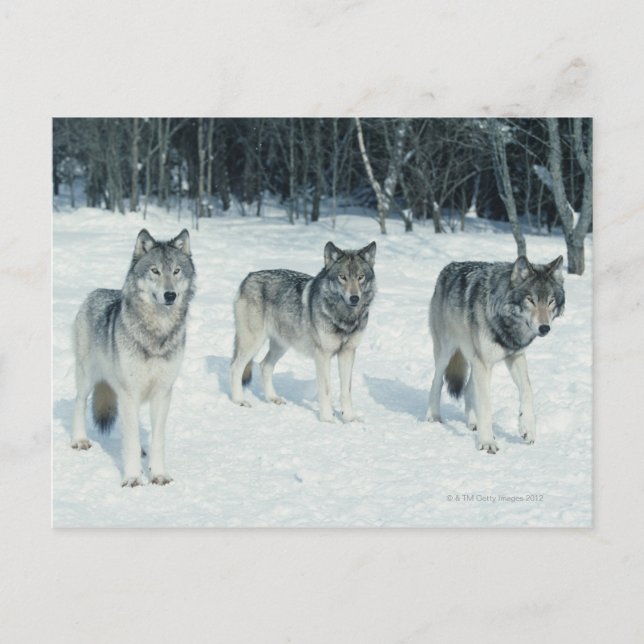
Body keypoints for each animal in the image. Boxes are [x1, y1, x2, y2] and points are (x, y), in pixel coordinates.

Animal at [70, 229, 196, 486]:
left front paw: (158, 474)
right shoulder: (130, 392)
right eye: (155, 271)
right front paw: (132, 478)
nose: (170, 295)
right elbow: (130, 440)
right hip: (88, 378)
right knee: (79, 403)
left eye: (176, 271)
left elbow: (157, 439)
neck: (156, 333)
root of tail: (95, 292)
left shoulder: (162, 392)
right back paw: (79, 440)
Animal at [230, 241, 377, 422]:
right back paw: (239, 400)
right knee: (235, 368)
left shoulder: (348, 353)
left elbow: (346, 391)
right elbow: (326, 390)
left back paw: (273, 398)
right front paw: (327, 419)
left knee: (264, 366)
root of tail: (248, 277)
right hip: (254, 343)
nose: (354, 298)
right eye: (342, 277)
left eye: (360, 277)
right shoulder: (323, 355)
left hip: (281, 345)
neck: (345, 318)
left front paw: (349, 418)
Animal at [426, 255, 565, 453]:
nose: (544, 328)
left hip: (474, 360)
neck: (507, 324)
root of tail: (449, 266)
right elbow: (485, 405)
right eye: (530, 300)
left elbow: (528, 390)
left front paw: (527, 429)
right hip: (447, 351)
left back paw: (473, 422)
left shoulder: (515, 357)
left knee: (468, 388)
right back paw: (433, 416)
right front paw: (487, 442)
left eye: (551, 301)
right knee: (437, 381)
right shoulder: (483, 363)